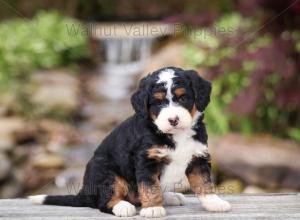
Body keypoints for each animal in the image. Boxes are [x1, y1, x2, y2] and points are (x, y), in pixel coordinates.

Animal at [28, 66, 231, 217]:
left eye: (183, 97)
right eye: (158, 102)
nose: (173, 119)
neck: (175, 134)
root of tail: (85, 191)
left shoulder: (198, 157)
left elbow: (204, 182)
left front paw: (214, 203)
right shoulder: (145, 160)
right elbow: (149, 186)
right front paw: (153, 208)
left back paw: (170, 197)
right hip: (107, 173)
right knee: (104, 202)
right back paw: (123, 206)